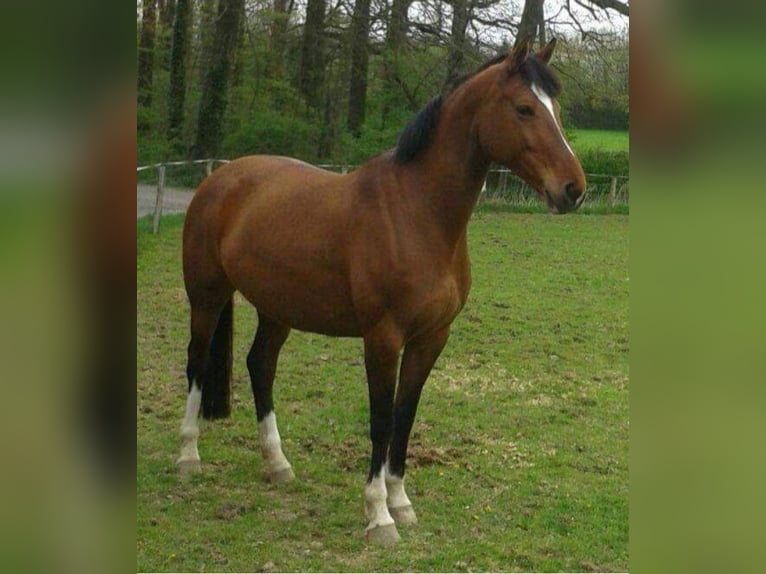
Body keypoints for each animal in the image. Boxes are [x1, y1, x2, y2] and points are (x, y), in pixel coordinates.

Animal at [178, 38, 588, 548]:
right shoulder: (383, 338)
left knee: (260, 365)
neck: (416, 213)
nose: (573, 189)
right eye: (524, 108)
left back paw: (277, 464)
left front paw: (401, 502)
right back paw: (188, 456)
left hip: (278, 309)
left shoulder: (431, 338)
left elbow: (404, 416)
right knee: (196, 363)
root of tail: (219, 178)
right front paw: (378, 516)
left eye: (557, 108)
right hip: (207, 296)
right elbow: (380, 421)